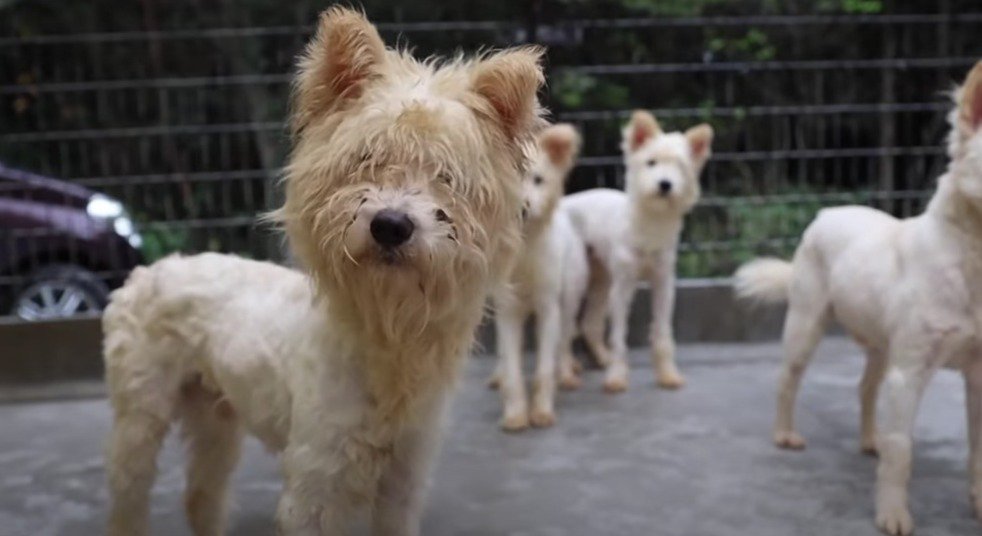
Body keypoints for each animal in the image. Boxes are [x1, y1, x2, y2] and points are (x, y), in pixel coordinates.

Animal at [104, 7, 544, 536]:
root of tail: (149, 271)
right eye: (366, 158)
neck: (382, 339)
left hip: (216, 416)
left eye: (446, 177)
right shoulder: (317, 484)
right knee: (128, 499)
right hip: (139, 420)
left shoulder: (403, 483)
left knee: (201, 495)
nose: (390, 226)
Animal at [488, 123, 588, 434]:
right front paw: (515, 415)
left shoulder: (549, 308)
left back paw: (565, 373)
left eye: (538, 179)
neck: (525, 251)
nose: (522, 209)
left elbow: (545, 365)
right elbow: (511, 366)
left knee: (565, 341)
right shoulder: (507, 310)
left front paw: (542, 412)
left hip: (569, 298)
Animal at [560, 110, 716, 394]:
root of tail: (563, 203)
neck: (650, 225)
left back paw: (601, 358)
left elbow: (662, 333)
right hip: (576, 285)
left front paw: (667, 374)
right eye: (651, 162)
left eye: (680, 166)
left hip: (601, 282)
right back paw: (566, 373)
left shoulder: (663, 285)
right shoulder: (622, 289)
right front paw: (617, 377)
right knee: (565, 332)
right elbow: (619, 337)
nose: (665, 184)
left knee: (589, 325)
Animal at [736, 59, 982, 536]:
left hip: (881, 347)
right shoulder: (909, 373)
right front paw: (892, 513)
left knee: (866, 390)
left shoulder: (979, 375)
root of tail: (827, 211)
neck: (970, 261)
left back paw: (871, 440)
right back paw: (784, 434)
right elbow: (902, 450)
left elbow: (976, 452)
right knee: (787, 380)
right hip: (805, 327)